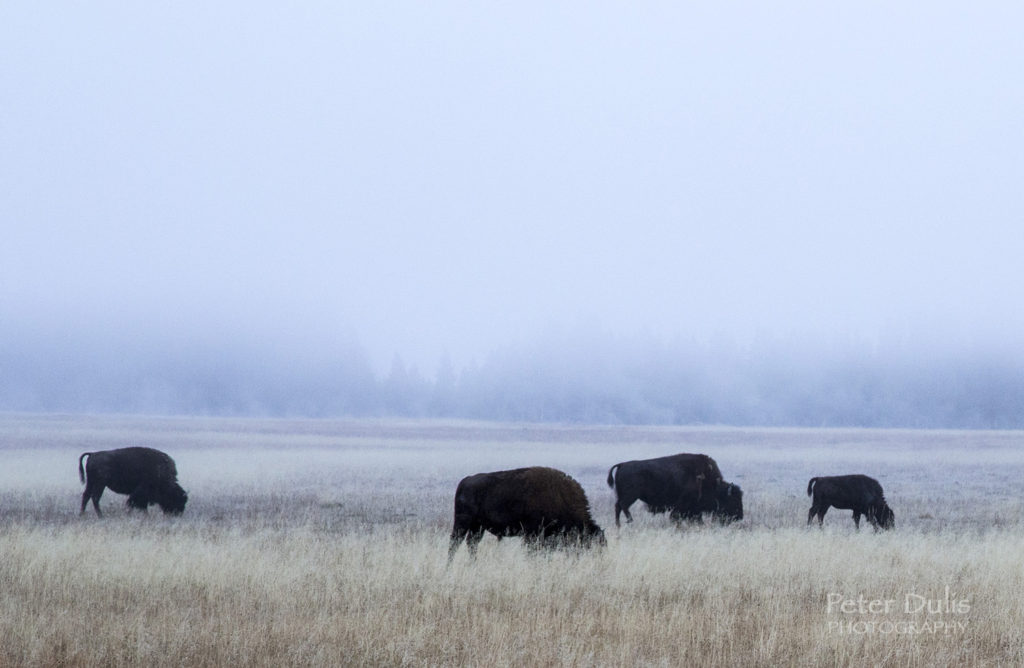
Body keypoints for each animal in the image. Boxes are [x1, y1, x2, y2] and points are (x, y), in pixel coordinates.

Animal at [446, 467, 602, 561]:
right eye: (587, 543)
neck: (560, 496)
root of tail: (465, 480)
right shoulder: (532, 534)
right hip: (462, 523)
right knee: (455, 543)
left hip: (477, 527)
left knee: (471, 543)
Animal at [606, 454, 745, 528]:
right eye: (733, 500)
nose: (740, 516)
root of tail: (622, 464)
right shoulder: (683, 507)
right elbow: (675, 517)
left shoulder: (694, 510)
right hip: (631, 496)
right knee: (623, 506)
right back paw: (630, 521)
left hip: (622, 495)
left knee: (618, 507)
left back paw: (619, 525)